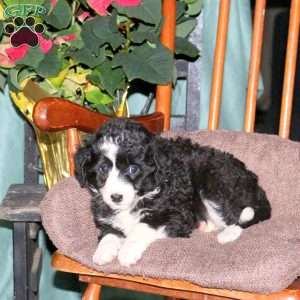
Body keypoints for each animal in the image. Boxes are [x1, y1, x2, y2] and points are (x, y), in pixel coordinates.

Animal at [75, 118, 272, 266]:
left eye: (133, 169)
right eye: (103, 169)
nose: (116, 197)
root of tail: (255, 184)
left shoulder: (177, 216)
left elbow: (142, 226)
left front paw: (127, 252)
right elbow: (109, 232)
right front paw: (103, 251)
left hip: (215, 183)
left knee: (239, 217)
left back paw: (228, 234)